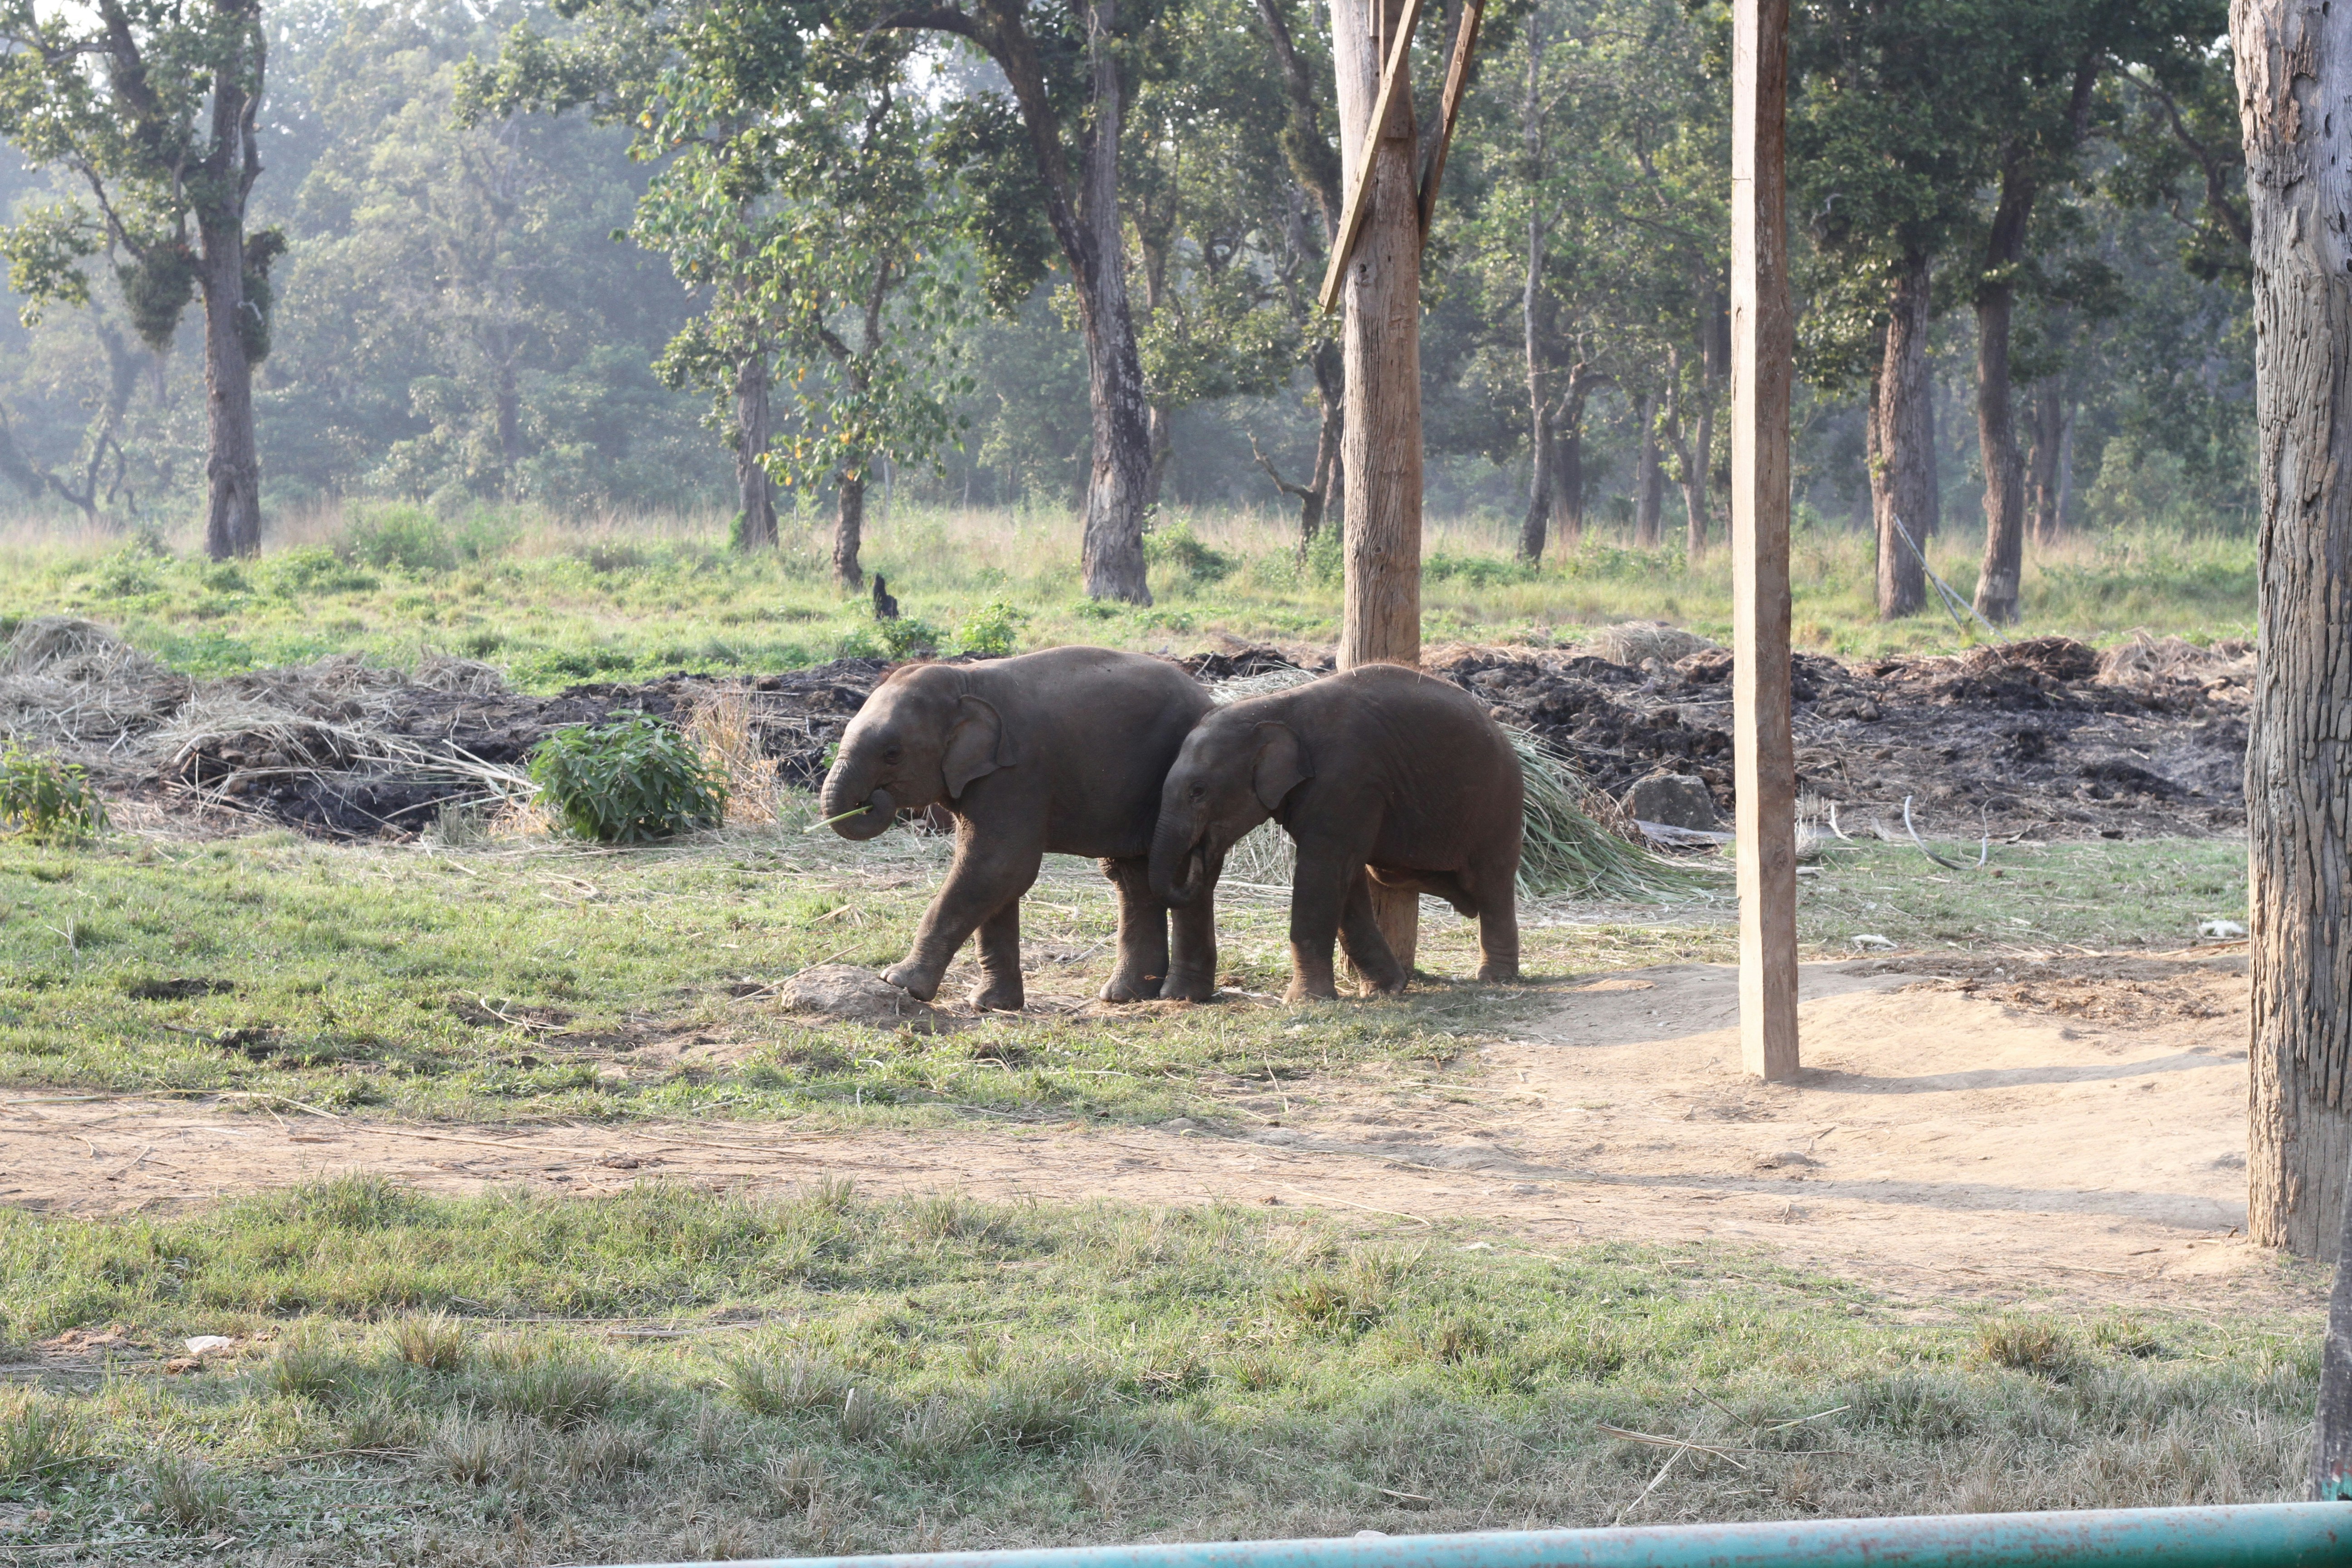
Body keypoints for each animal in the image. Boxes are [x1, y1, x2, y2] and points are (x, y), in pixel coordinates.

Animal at [818, 645, 1217, 1011]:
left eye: (892, 754)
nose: (874, 799)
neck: (964, 680)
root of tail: (1206, 696)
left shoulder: (1016, 773)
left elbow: (998, 868)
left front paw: (899, 983)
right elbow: (996, 878)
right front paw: (990, 1004)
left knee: (1176, 870)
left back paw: (1180, 995)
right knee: (1132, 877)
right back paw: (1126, 995)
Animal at [1148, 664, 1523, 1001]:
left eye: (1198, 791)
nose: (1199, 854)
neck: (1271, 708)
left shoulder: (1346, 781)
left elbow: (1321, 873)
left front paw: (1304, 1001)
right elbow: (1346, 881)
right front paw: (1386, 989)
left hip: (1498, 807)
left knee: (1491, 883)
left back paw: (1495, 978)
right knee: (1392, 872)